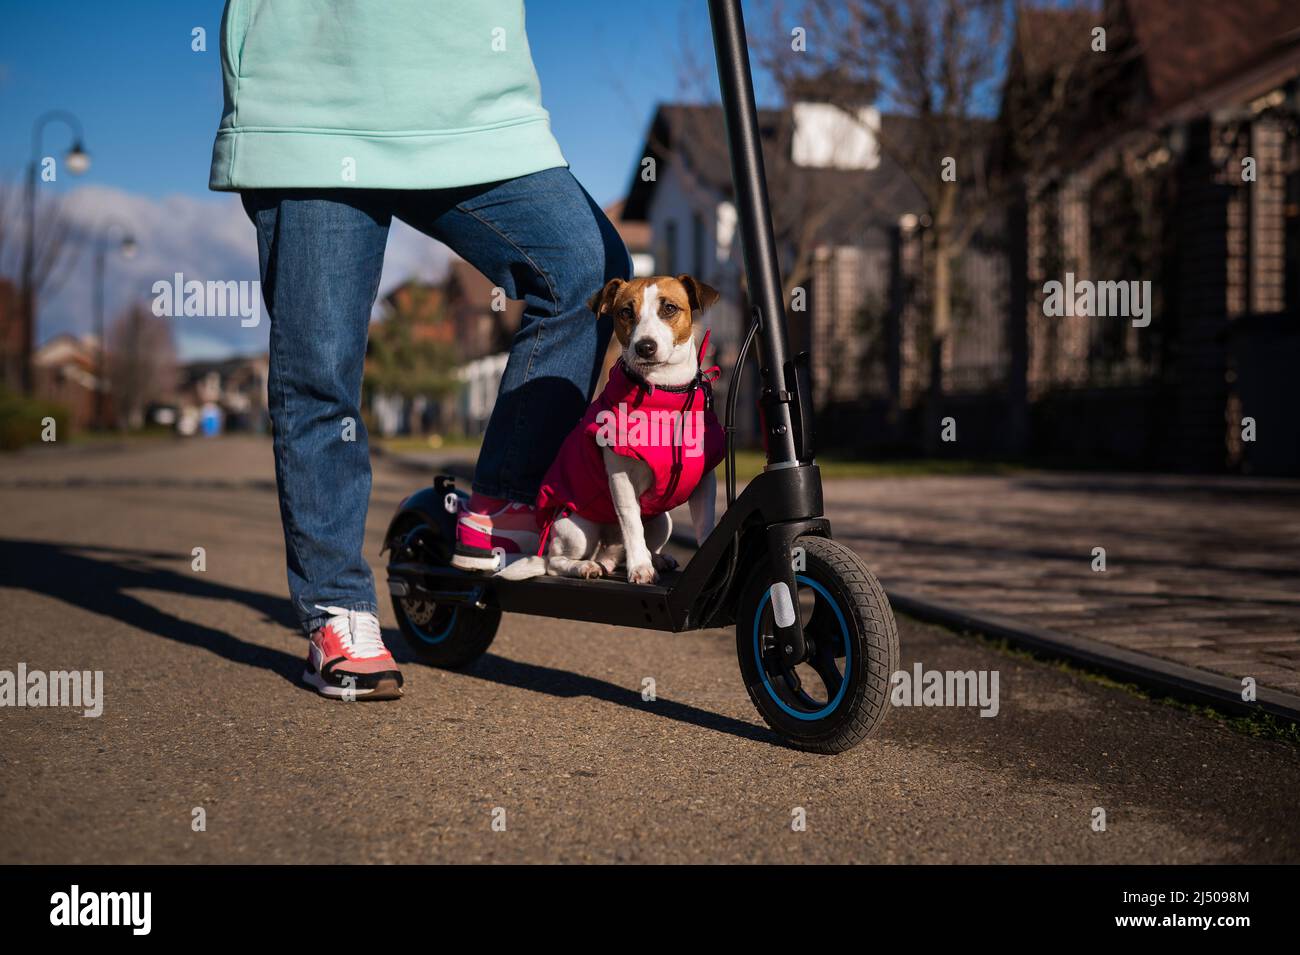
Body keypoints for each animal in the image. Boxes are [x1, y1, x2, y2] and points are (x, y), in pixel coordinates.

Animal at [496, 274, 728, 582]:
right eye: (626, 312)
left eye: (669, 308)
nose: (645, 346)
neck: (665, 398)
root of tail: (606, 551)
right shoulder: (620, 477)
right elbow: (631, 522)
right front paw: (640, 568)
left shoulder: (704, 481)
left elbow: (705, 526)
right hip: (578, 528)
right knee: (554, 562)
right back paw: (586, 566)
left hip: (661, 522)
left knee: (626, 551)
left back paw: (652, 559)